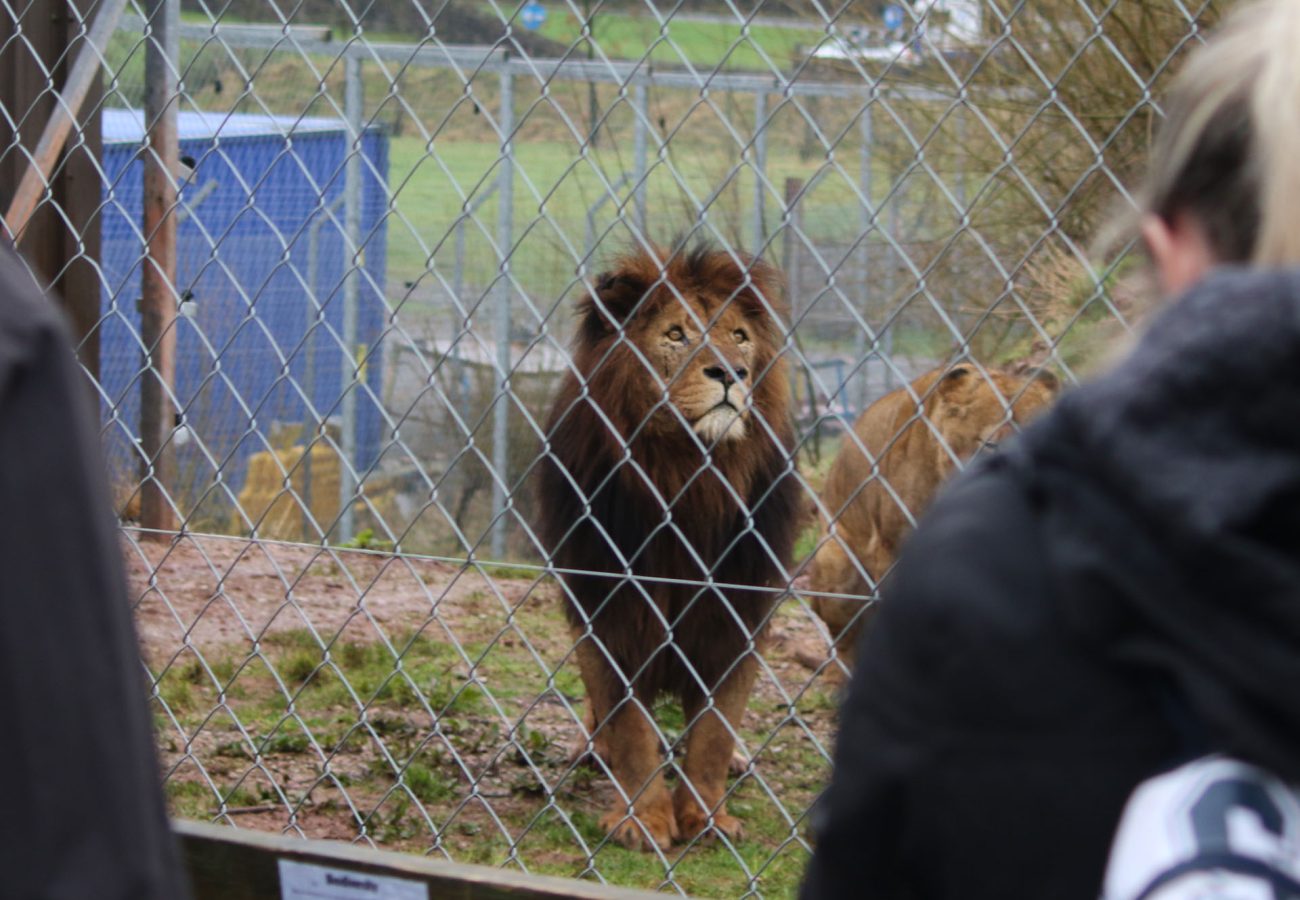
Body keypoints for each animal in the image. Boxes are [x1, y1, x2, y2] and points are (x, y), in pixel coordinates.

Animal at [533, 244, 795, 853]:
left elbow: (715, 732)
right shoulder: (610, 606)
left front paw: (708, 819)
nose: (733, 374)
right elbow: (631, 728)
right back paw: (594, 747)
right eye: (677, 334)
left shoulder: (737, 611)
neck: (687, 479)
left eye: (739, 337)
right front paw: (644, 821)